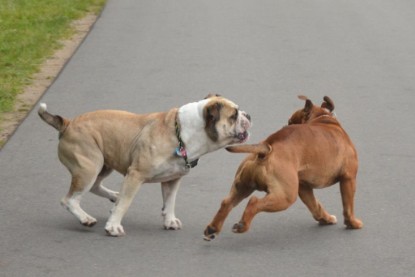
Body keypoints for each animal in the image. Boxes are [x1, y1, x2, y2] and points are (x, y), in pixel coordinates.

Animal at [206, 95, 364, 239]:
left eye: (290, 121)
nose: (285, 125)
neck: (322, 118)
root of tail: (266, 148)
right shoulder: (348, 179)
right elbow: (348, 206)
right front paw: (353, 223)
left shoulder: (304, 188)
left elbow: (315, 205)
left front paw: (326, 219)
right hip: (285, 196)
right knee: (254, 202)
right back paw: (242, 225)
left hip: (243, 186)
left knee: (226, 203)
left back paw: (212, 229)